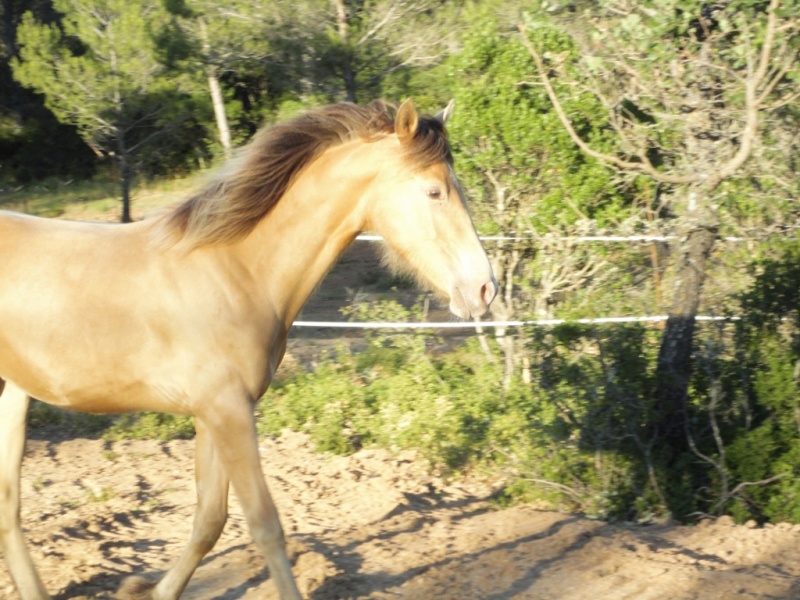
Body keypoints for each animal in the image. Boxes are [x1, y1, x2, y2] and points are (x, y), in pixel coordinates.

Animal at [0, 96, 496, 596]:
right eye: (434, 192)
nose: (484, 289)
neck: (237, 271)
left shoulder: (214, 415)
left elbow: (209, 520)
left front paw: (154, 591)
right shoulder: (227, 411)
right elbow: (264, 523)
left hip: (14, 395)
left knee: (8, 506)